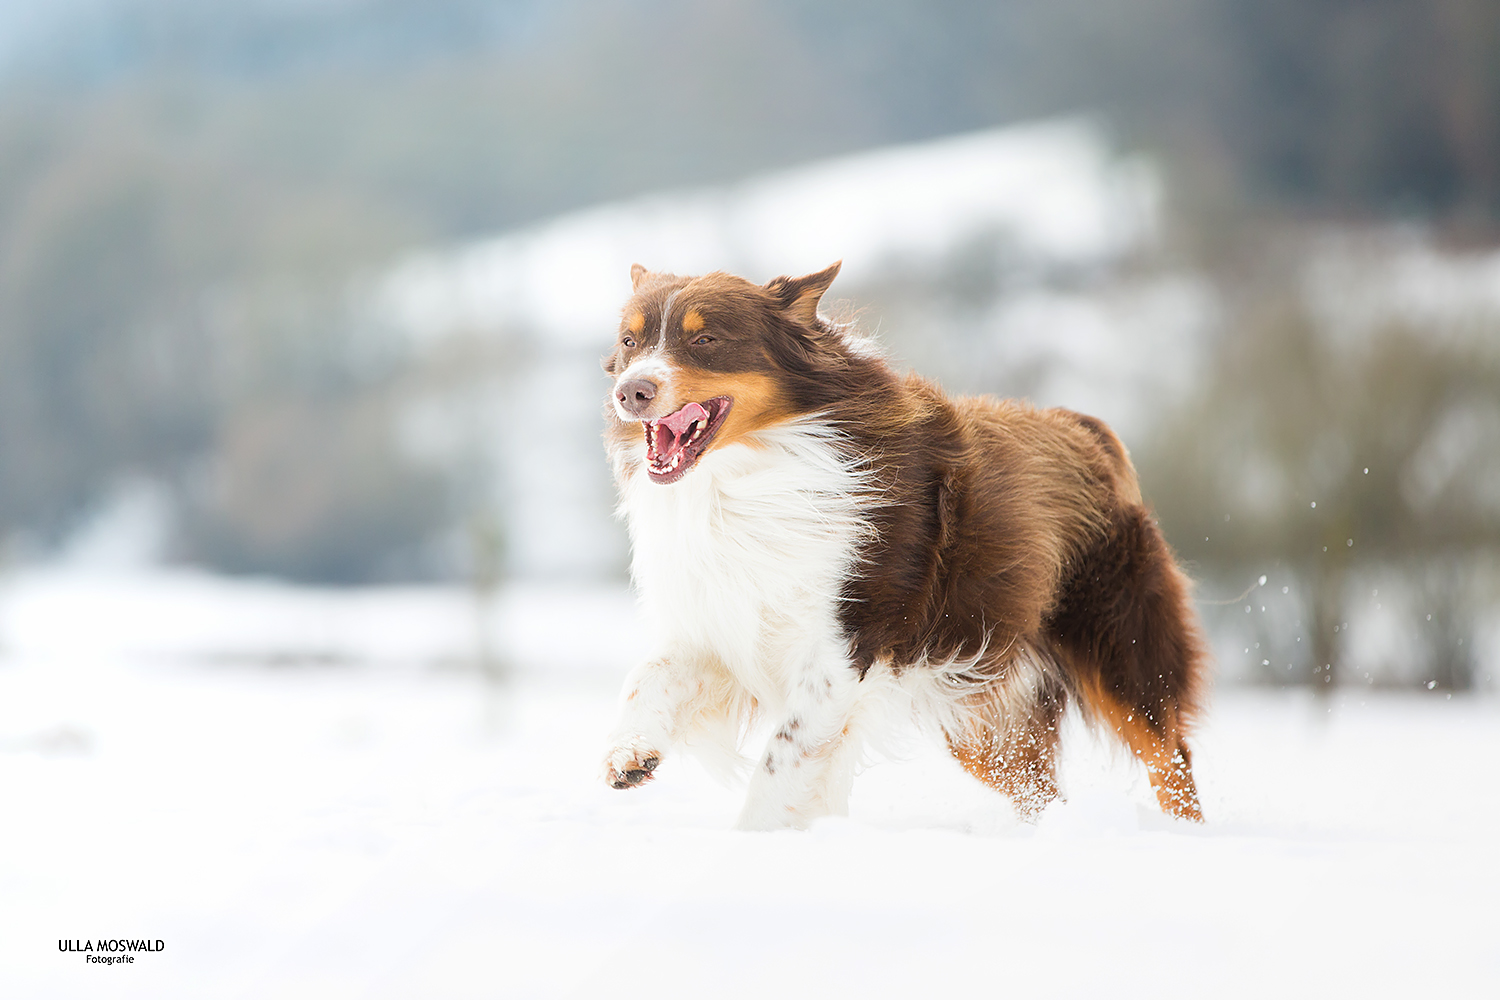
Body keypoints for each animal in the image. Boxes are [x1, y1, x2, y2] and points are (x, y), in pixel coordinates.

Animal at [597, 257, 1206, 827]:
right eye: (629, 341)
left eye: (706, 340)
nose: (630, 392)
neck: (744, 479)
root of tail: (1086, 430)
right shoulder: (723, 618)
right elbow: (645, 676)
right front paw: (630, 752)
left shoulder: (840, 649)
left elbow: (782, 762)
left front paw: (755, 839)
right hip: (981, 711)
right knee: (1040, 789)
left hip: (1121, 646)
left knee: (1170, 756)